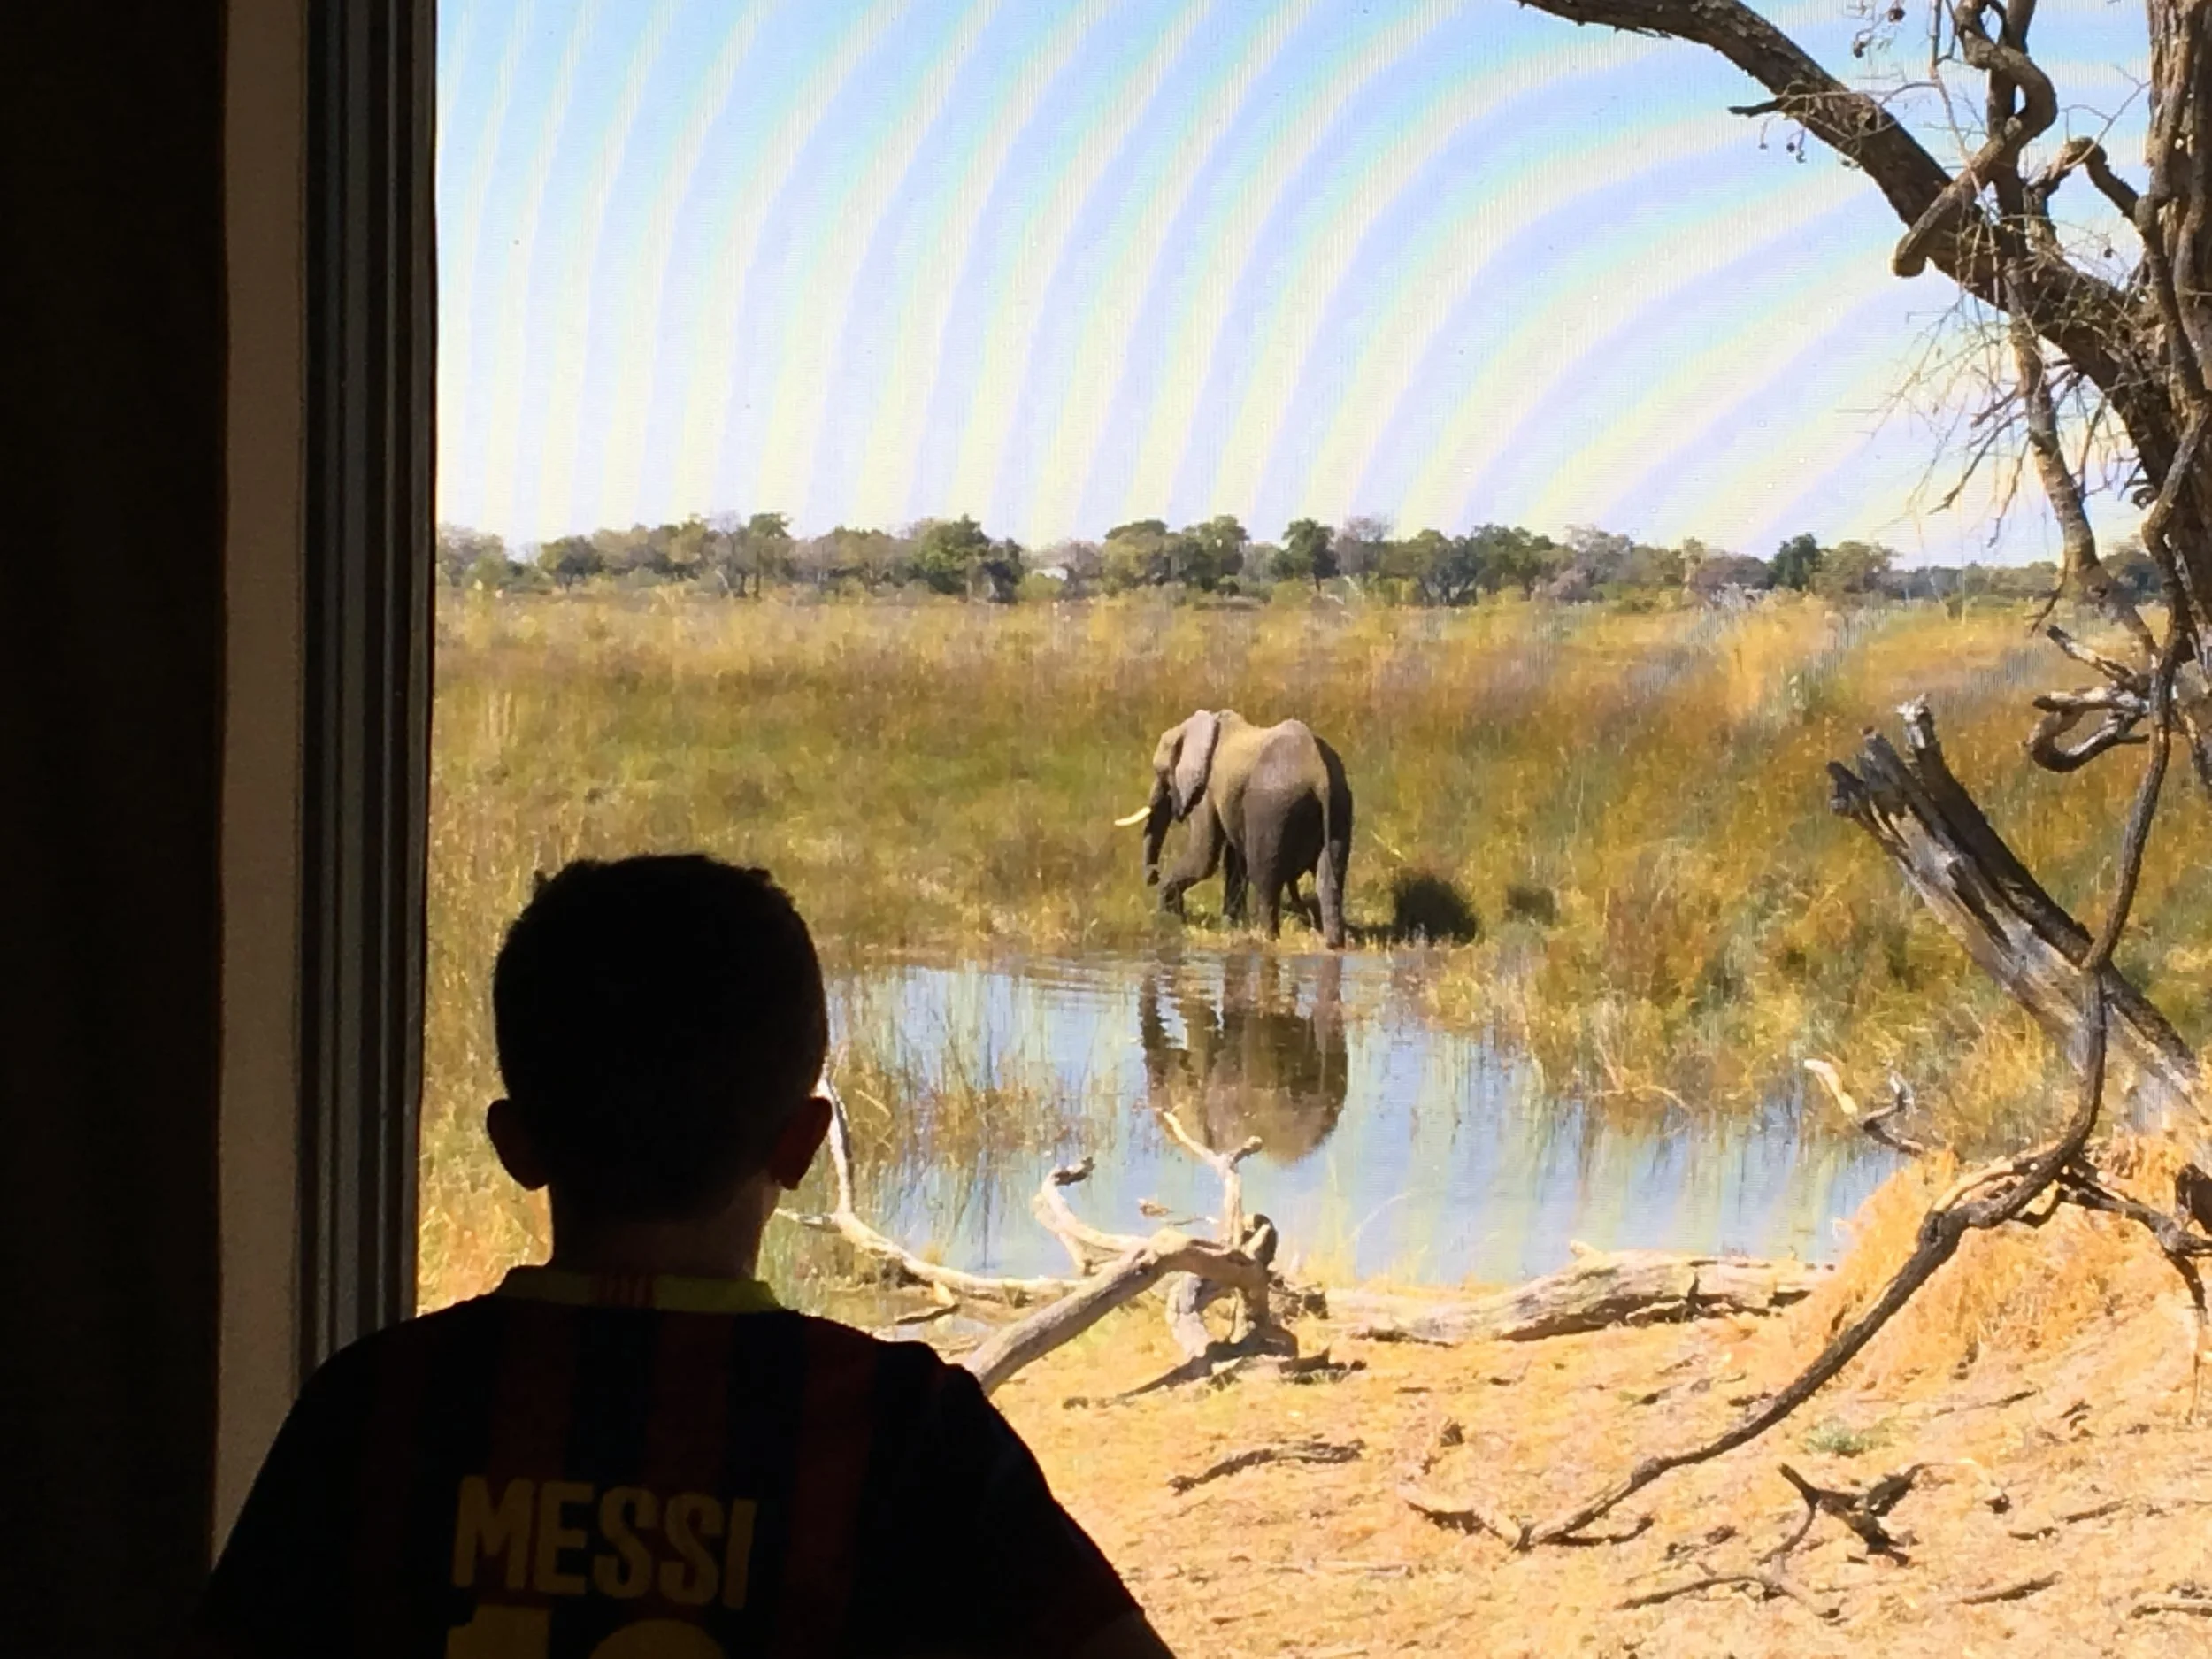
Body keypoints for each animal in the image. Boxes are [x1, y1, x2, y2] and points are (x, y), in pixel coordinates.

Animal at [1114, 709, 1352, 947]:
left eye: (1161, 772)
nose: (1153, 876)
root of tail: (1320, 775)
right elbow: (1233, 859)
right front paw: (1230, 925)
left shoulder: (1206, 791)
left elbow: (1203, 859)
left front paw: (1169, 915)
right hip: (1339, 807)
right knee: (1330, 879)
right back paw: (1332, 944)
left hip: (1271, 809)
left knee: (1265, 879)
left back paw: (1267, 939)